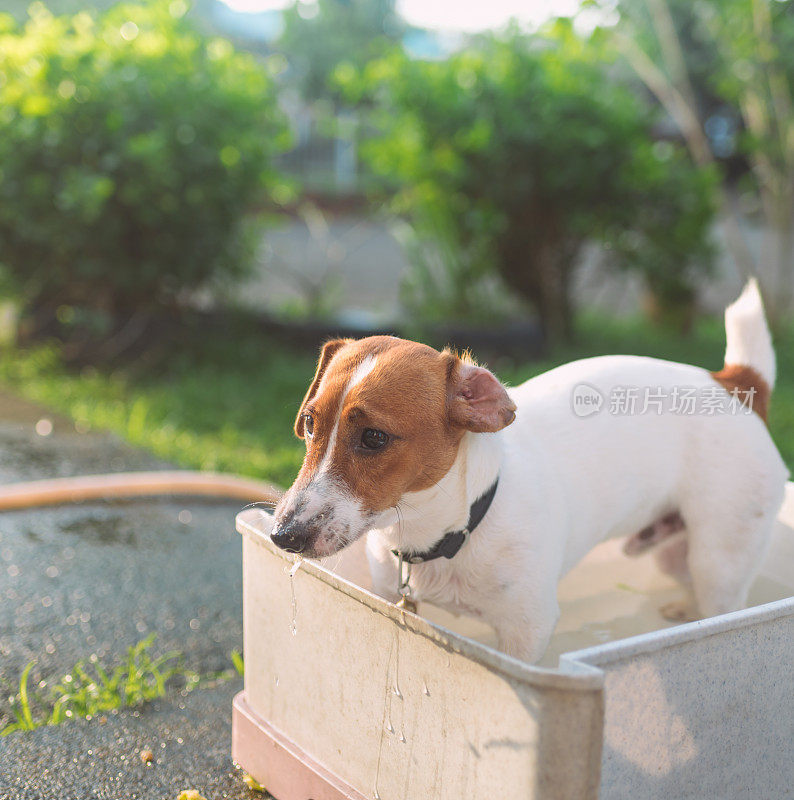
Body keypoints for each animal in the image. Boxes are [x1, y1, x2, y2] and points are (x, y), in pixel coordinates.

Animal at [270, 282, 784, 664]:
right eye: (310, 423)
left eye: (374, 438)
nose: (283, 536)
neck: (454, 529)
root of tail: (733, 383)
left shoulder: (527, 630)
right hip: (675, 552)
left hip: (720, 557)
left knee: (723, 605)